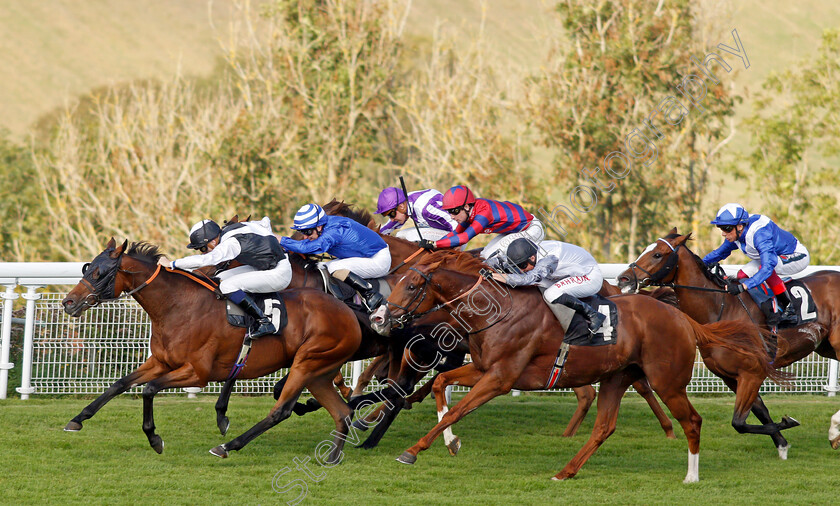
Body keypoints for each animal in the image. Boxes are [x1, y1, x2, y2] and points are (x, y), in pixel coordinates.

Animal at [59, 238, 360, 462]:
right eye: (87, 268)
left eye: (99, 272)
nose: (68, 302)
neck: (178, 306)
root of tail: (348, 313)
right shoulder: (161, 362)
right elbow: (119, 384)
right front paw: (77, 420)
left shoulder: (197, 373)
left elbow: (149, 390)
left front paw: (155, 439)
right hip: (319, 373)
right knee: (342, 412)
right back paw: (332, 457)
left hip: (306, 363)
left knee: (281, 411)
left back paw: (227, 447)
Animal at [374, 252, 780, 482]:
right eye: (398, 281)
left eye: (412, 286)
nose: (379, 318)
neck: (498, 310)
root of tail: (683, 318)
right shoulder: (485, 368)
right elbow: (440, 384)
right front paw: (451, 442)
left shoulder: (501, 377)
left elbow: (457, 407)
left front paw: (413, 450)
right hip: (617, 377)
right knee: (604, 427)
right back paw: (565, 471)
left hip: (667, 381)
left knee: (692, 421)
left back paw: (691, 477)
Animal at [612, 229, 836, 458]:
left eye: (657, 254)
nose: (623, 278)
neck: (722, 310)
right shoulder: (729, 376)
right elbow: (758, 412)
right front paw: (782, 444)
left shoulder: (753, 372)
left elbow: (739, 422)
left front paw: (789, 422)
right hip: (826, 348)